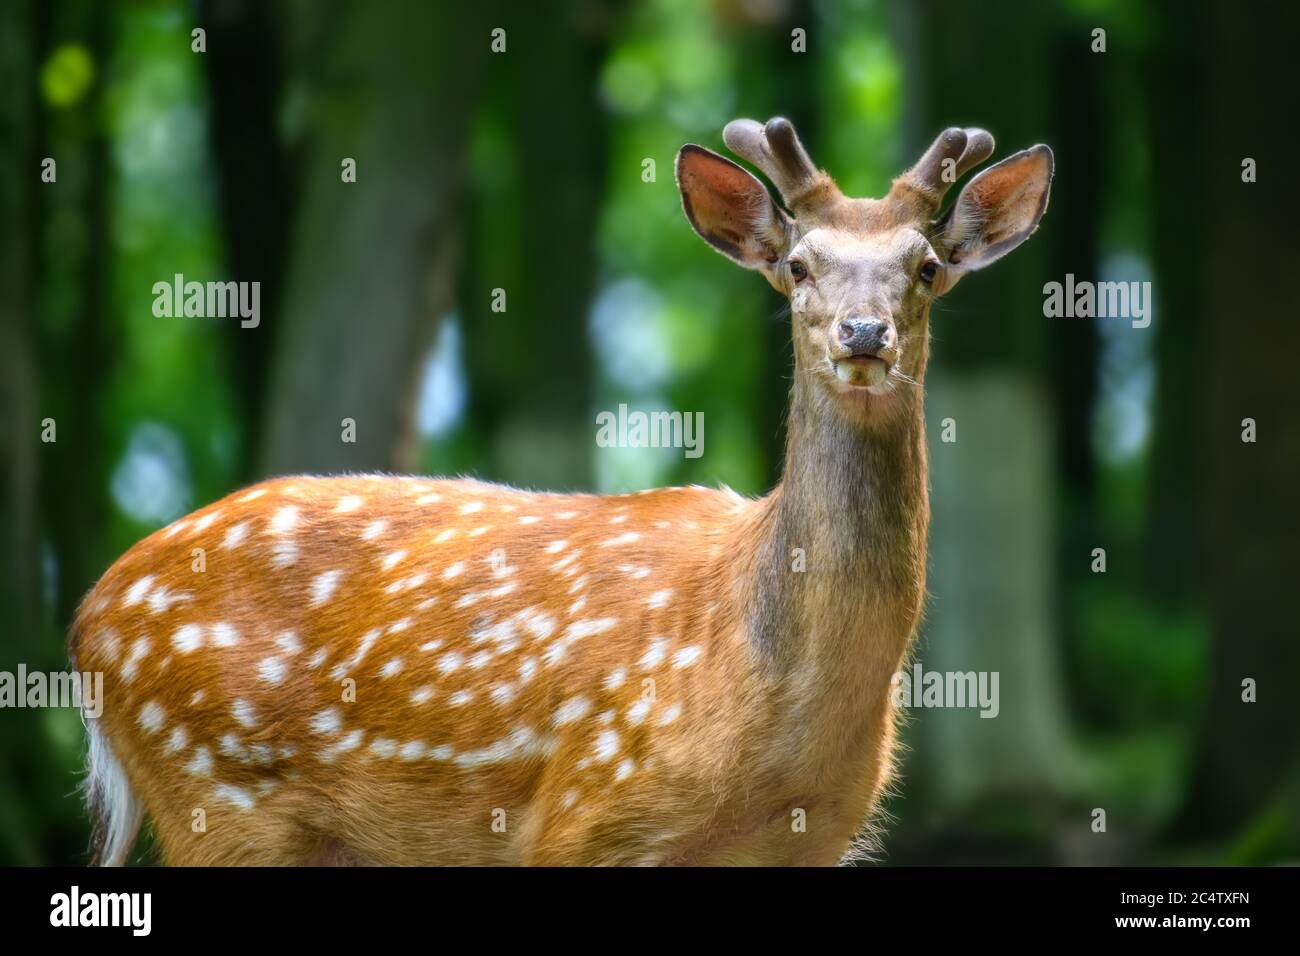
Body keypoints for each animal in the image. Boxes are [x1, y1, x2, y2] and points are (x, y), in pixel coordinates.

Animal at [69, 117, 1052, 866]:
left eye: (926, 267)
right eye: (800, 265)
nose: (863, 333)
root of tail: (87, 622)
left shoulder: (811, 842)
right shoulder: (587, 810)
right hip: (216, 790)